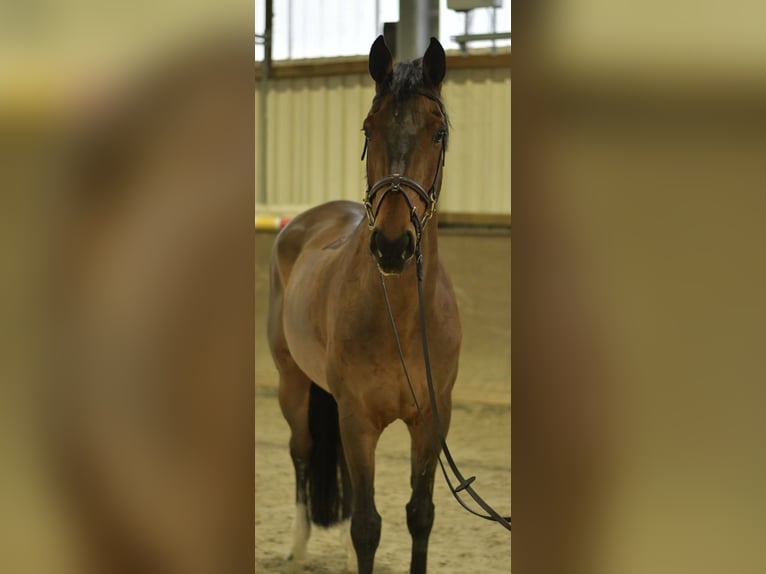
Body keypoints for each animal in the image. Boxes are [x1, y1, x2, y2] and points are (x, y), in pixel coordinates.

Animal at [267, 36, 461, 574]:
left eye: (438, 133)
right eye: (367, 128)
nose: (393, 246)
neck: (403, 319)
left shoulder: (432, 420)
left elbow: (420, 514)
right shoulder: (357, 421)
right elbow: (367, 528)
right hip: (292, 383)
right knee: (302, 451)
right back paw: (297, 545)